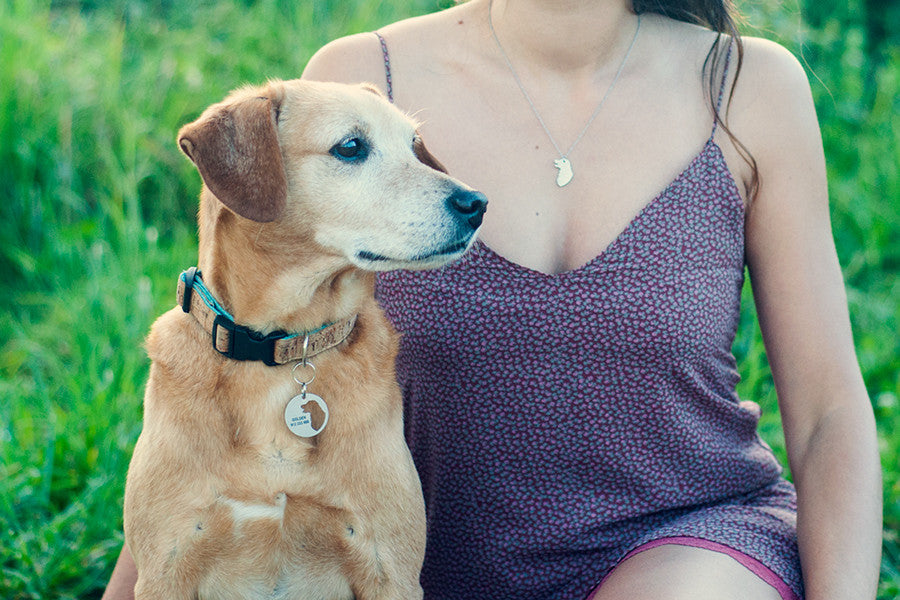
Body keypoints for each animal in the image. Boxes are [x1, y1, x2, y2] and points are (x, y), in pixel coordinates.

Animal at [122, 81, 486, 600]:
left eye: (414, 145)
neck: (279, 349)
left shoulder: (391, 570)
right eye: (351, 147)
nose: (477, 203)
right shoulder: (165, 570)